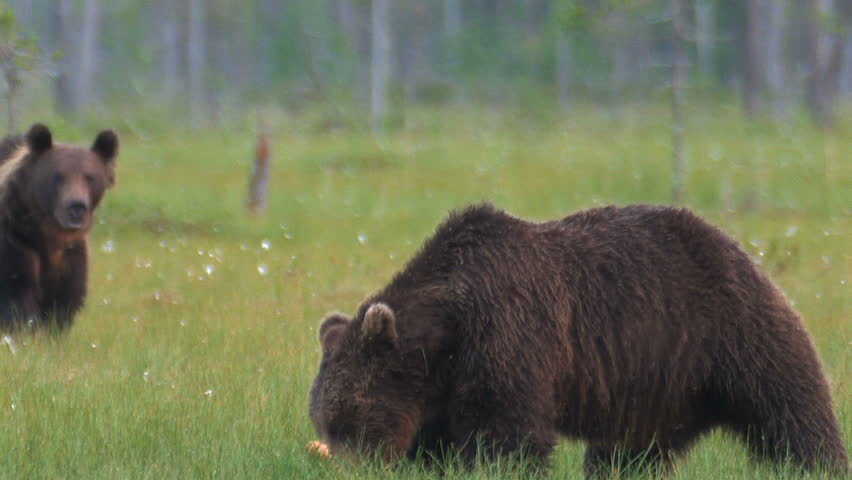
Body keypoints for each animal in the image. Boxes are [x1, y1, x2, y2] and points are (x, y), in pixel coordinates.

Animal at [0, 123, 118, 331]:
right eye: (58, 176)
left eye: (90, 177)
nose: (76, 207)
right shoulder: (16, 240)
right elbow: (17, 294)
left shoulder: (70, 257)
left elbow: (63, 303)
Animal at [309, 203, 848, 477]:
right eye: (327, 424)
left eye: (351, 423)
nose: (342, 465)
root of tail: (735, 245)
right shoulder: (441, 386)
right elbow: (436, 443)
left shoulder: (508, 335)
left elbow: (506, 433)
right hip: (655, 384)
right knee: (632, 450)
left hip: (726, 330)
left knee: (786, 405)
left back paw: (816, 463)